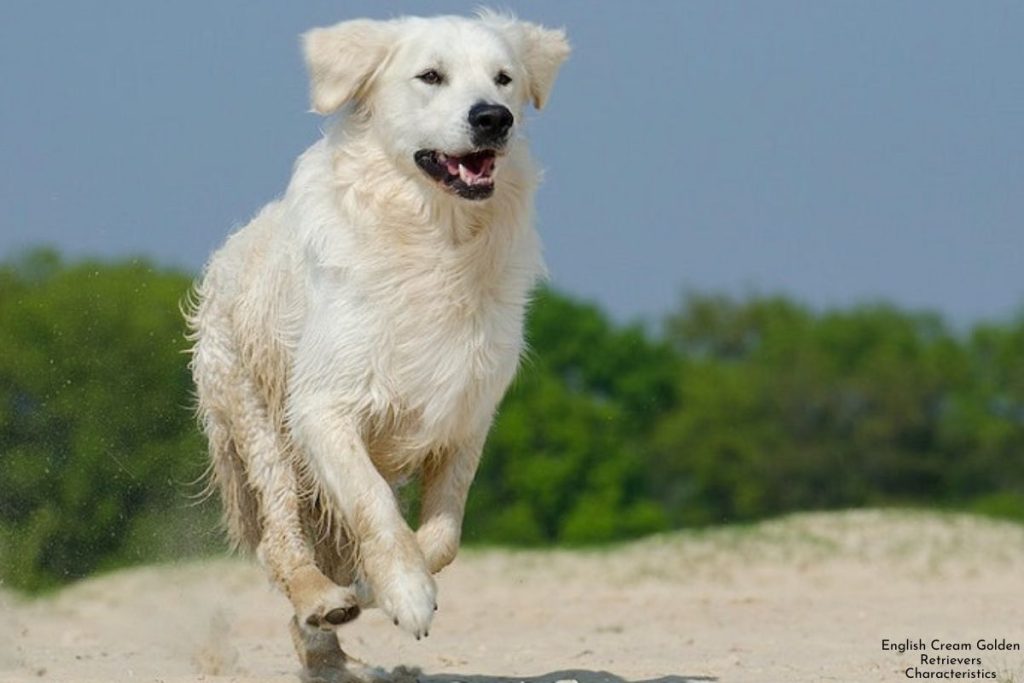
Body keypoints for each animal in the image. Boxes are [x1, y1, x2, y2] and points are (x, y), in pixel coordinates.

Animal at [184, 9, 569, 671]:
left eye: (504, 78)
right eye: (431, 76)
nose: (493, 117)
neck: (436, 238)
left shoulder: (468, 412)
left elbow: (442, 534)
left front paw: (381, 586)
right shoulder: (323, 406)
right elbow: (373, 507)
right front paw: (406, 594)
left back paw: (331, 655)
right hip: (256, 419)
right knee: (281, 537)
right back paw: (320, 602)